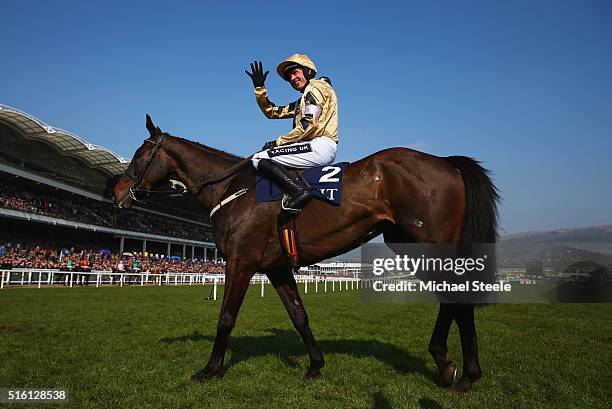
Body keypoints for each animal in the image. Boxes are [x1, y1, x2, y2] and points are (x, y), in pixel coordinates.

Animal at [112, 115, 500, 392]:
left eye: (140, 155)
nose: (116, 192)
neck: (232, 188)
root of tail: (445, 161)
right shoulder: (277, 267)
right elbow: (299, 316)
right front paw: (315, 365)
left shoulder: (241, 261)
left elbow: (225, 318)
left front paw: (210, 369)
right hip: (409, 242)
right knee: (451, 298)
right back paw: (449, 364)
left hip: (429, 243)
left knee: (457, 297)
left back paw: (465, 373)